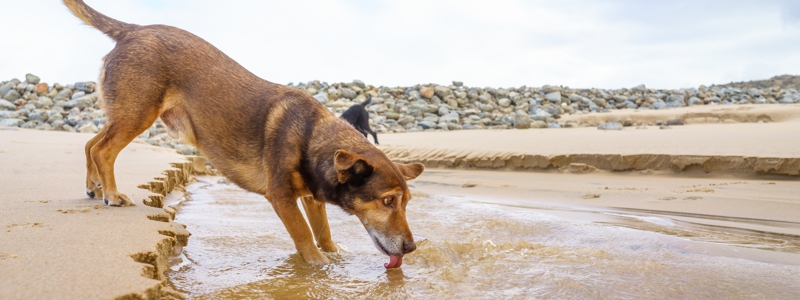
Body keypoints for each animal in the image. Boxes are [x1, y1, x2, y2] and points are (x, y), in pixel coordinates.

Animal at [64, 0, 424, 268]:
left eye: (406, 202)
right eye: (388, 201)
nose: (410, 248)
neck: (311, 136)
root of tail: (133, 29)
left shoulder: (311, 197)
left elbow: (323, 235)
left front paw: (335, 257)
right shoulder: (281, 197)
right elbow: (306, 239)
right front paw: (318, 268)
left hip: (125, 114)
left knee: (90, 143)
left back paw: (94, 187)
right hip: (138, 113)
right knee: (103, 150)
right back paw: (112, 194)